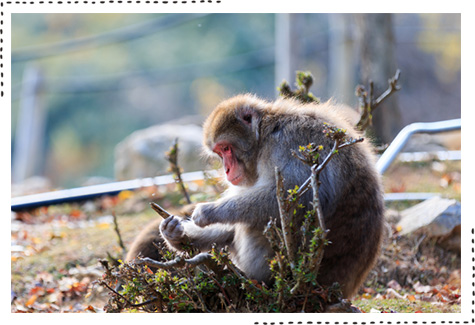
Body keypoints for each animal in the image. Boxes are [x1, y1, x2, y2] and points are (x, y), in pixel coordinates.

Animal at [128, 92, 384, 298]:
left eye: (227, 148)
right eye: (219, 153)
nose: (227, 170)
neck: (266, 132)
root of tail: (342, 290)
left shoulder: (288, 142)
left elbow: (296, 197)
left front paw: (209, 211)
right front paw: (175, 233)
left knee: (255, 223)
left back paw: (250, 280)